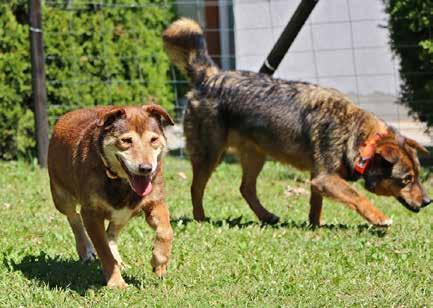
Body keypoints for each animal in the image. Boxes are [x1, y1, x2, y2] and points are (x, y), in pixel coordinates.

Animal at [48, 104, 173, 288]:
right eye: (126, 140)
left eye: (153, 139)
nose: (146, 168)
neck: (121, 182)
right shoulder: (91, 214)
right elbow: (103, 251)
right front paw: (116, 282)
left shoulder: (155, 201)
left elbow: (166, 231)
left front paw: (159, 261)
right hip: (60, 195)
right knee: (74, 217)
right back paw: (86, 250)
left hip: (124, 215)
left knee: (111, 233)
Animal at [162, 18, 428, 227]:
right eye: (406, 179)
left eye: (418, 176)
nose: (428, 201)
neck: (360, 138)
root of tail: (210, 76)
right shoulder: (325, 177)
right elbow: (356, 195)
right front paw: (379, 218)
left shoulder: (317, 177)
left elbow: (315, 204)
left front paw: (315, 226)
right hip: (210, 155)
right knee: (196, 188)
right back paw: (200, 218)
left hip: (255, 155)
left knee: (245, 188)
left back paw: (266, 216)